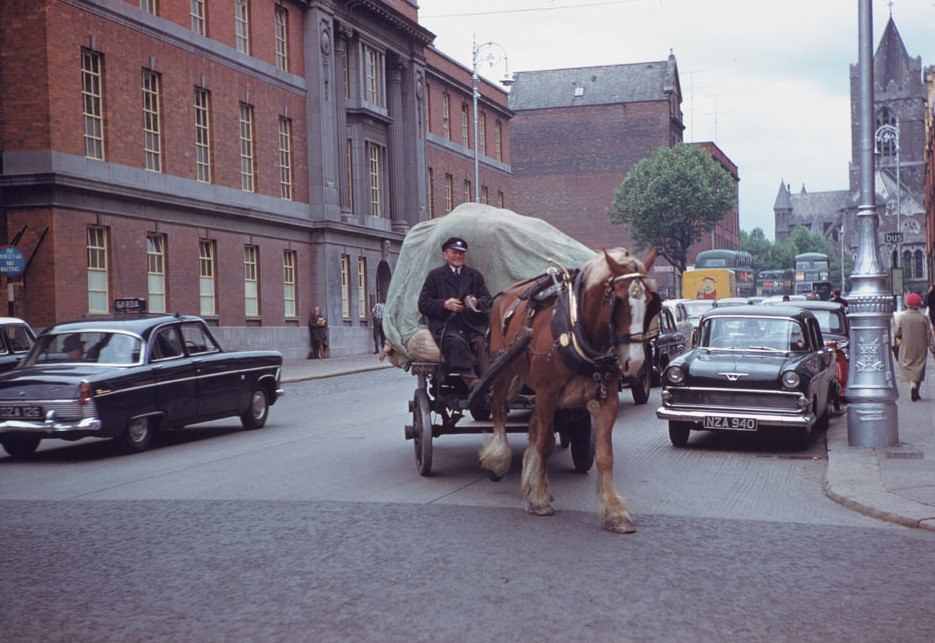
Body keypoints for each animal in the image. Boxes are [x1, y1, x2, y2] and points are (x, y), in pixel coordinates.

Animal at [478, 248, 660, 532]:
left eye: (652, 301)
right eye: (618, 301)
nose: (636, 363)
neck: (576, 329)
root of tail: (503, 296)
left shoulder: (607, 400)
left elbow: (604, 455)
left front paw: (614, 511)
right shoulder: (547, 395)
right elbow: (544, 445)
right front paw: (539, 499)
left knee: (532, 425)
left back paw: (529, 480)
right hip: (503, 371)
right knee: (499, 410)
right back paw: (498, 460)